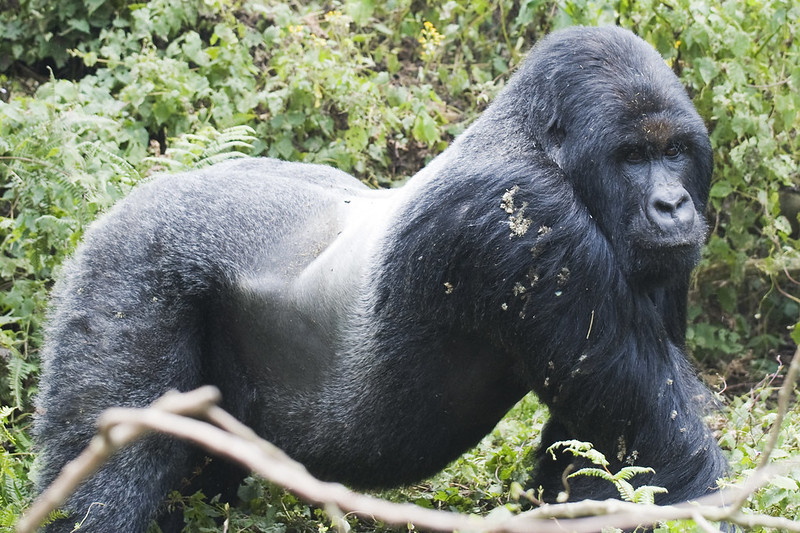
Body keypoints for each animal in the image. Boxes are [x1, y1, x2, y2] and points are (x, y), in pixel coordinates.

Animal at [34, 26, 728, 532]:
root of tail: (132, 197)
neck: (535, 143)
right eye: (632, 156)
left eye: (674, 152)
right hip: (130, 263)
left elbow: (592, 455)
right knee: (110, 478)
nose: (673, 206)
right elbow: (664, 460)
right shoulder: (530, 220)